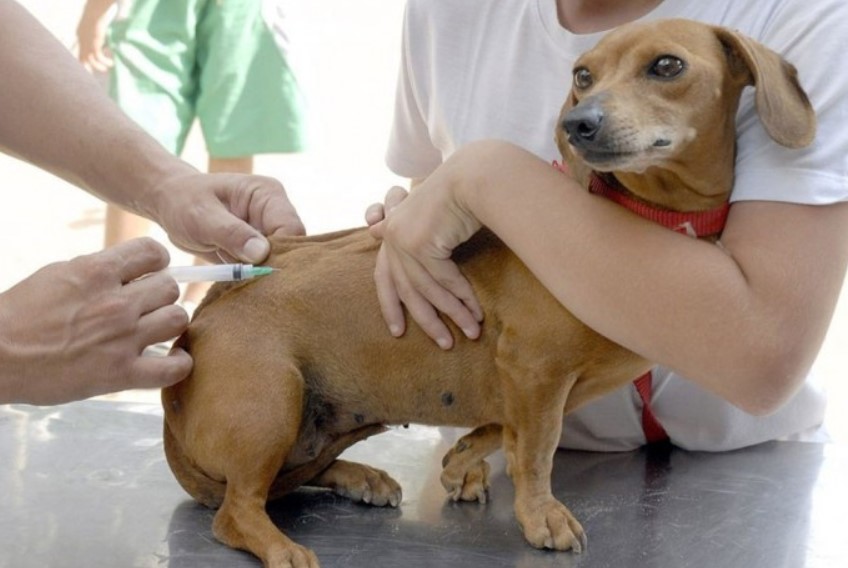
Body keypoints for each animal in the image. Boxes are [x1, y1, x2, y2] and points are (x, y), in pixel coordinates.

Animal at [161, 18, 816, 568]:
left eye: (667, 66)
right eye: (583, 75)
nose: (579, 125)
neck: (643, 218)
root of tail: (199, 322)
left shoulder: (538, 384)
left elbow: (506, 431)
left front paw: (461, 463)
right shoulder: (535, 369)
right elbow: (536, 450)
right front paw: (541, 516)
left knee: (284, 483)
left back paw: (359, 477)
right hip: (272, 404)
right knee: (237, 510)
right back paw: (282, 546)